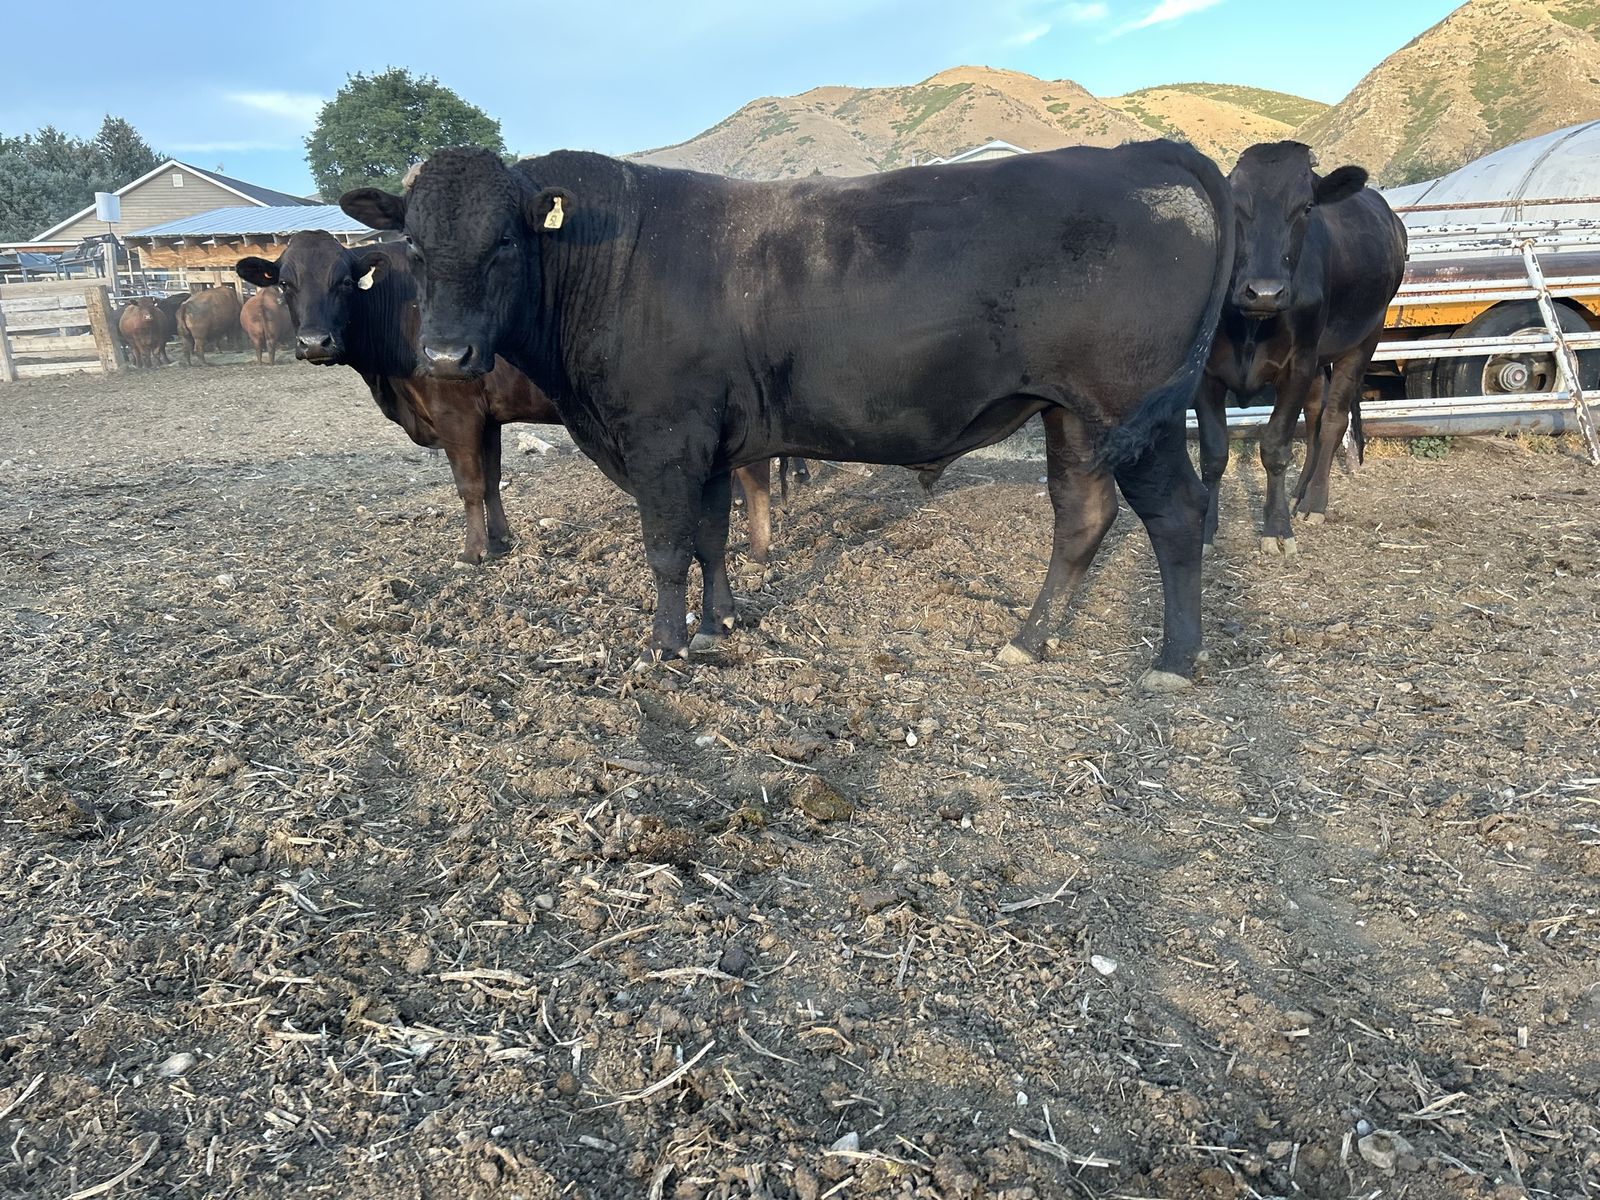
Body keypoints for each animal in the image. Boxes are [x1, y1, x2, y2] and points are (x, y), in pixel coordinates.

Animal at [236, 232, 785, 566]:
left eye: (345, 281)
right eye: (285, 284)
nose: (314, 343)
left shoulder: (454, 412)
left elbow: (469, 484)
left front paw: (473, 552)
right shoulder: (488, 417)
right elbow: (494, 479)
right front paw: (500, 539)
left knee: (755, 472)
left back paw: (758, 550)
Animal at [341, 142, 1236, 689]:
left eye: (503, 243)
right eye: (414, 245)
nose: (446, 355)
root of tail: (1134, 152)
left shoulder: (662, 439)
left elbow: (666, 549)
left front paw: (667, 642)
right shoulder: (705, 443)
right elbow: (711, 537)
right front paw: (719, 624)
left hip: (1136, 413)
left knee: (1177, 515)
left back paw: (1174, 659)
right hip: (1072, 415)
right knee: (1081, 514)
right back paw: (1027, 639)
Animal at [1197, 141, 1407, 558]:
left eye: (1307, 207)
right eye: (1234, 204)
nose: (1264, 291)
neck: (1251, 326)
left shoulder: (1297, 365)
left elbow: (1276, 447)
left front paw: (1277, 529)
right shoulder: (1205, 373)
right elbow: (1214, 454)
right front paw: (1207, 530)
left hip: (1363, 340)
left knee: (1333, 420)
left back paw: (1313, 504)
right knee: (1314, 417)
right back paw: (1299, 492)